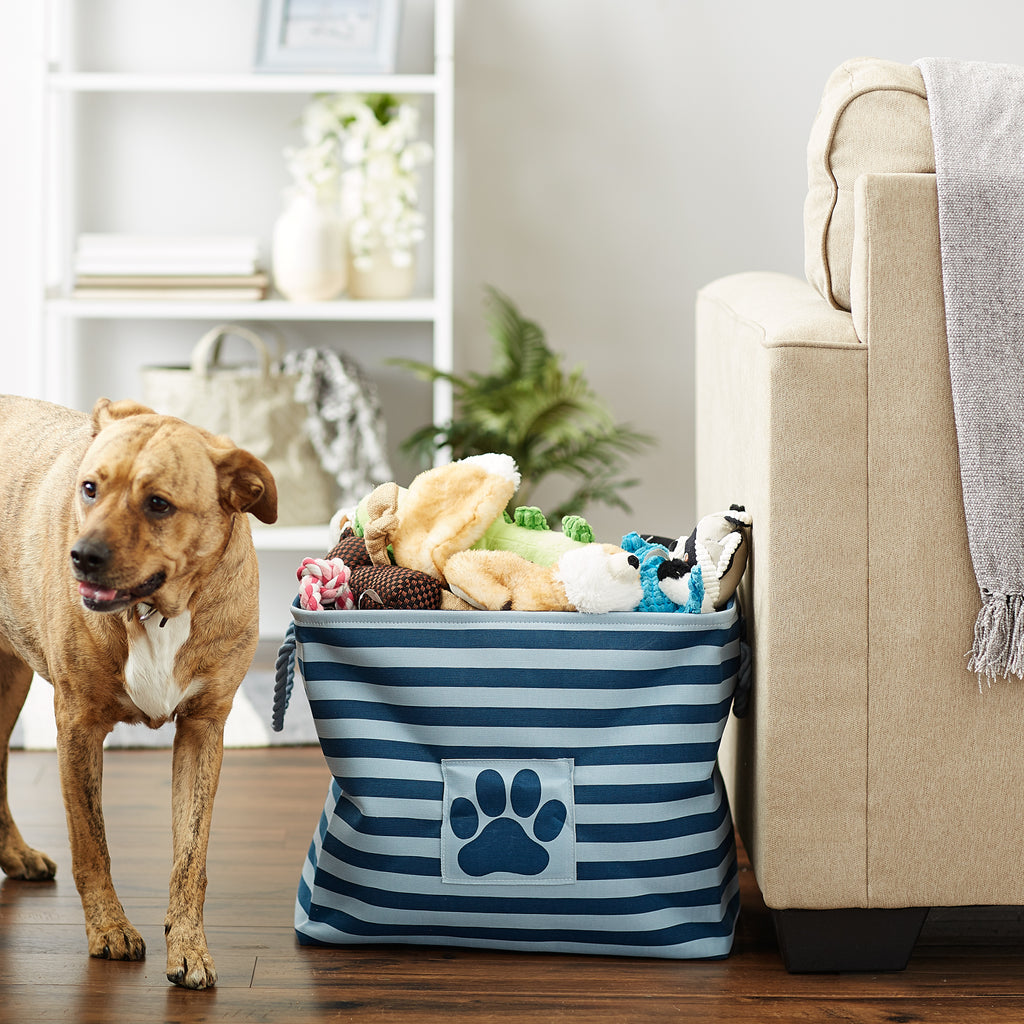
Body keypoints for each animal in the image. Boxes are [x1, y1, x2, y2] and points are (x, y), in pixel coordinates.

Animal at [0, 391, 276, 983]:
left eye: (158, 504)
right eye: (89, 488)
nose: (81, 556)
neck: (157, 611)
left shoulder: (202, 730)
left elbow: (190, 856)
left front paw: (189, 945)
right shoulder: (78, 726)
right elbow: (92, 844)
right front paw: (109, 929)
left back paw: (15, 854)